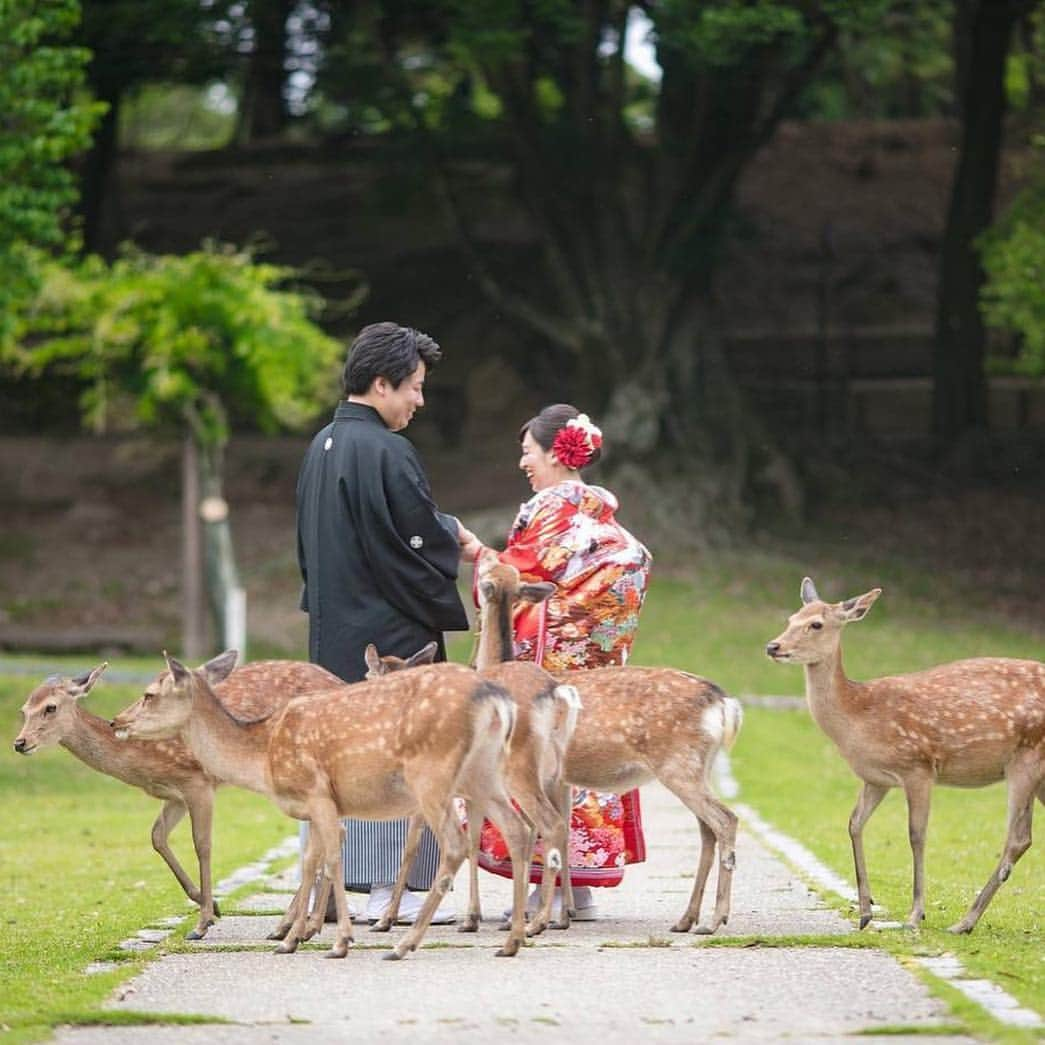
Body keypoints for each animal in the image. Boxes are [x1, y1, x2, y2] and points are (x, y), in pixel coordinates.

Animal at [14, 660, 340, 940]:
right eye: (24, 709)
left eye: (50, 707)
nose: (20, 742)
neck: (141, 761)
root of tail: (337, 680)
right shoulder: (173, 794)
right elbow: (157, 836)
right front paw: (211, 904)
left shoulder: (198, 781)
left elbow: (202, 845)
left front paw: (203, 922)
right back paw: (293, 924)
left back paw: (291, 924)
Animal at [113, 656, 535, 957]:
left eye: (149, 693)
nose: (116, 721)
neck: (263, 758)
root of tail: (497, 700)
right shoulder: (315, 806)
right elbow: (311, 861)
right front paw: (292, 938)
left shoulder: (317, 793)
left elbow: (330, 860)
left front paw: (337, 940)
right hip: (483, 774)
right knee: (519, 829)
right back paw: (512, 940)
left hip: (432, 777)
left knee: (456, 844)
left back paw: (404, 944)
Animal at [365, 622, 581, 936]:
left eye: (368, 676)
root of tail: (556, 695)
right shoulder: (467, 793)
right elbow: (473, 840)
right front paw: (472, 917)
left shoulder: (427, 789)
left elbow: (412, 847)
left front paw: (386, 919)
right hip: (555, 777)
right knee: (557, 825)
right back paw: (560, 914)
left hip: (520, 773)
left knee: (546, 825)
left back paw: (536, 921)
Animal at [466, 551, 744, 936]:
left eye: (488, 569)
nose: (481, 557)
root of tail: (723, 704)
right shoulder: (561, 780)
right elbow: (563, 831)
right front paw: (564, 914)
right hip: (699, 764)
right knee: (707, 829)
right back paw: (686, 918)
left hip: (678, 763)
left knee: (724, 820)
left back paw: (715, 920)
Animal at [769, 581, 1045, 932]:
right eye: (791, 618)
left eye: (816, 624)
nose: (773, 646)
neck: (858, 716)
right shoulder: (875, 779)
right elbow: (854, 824)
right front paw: (865, 911)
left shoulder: (919, 766)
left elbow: (916, 835)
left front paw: (915, 915)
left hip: (1027, 755)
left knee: (1018, 838)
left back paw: (965, 921)